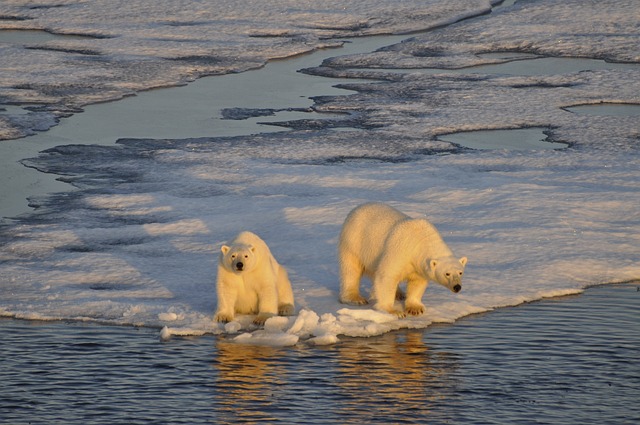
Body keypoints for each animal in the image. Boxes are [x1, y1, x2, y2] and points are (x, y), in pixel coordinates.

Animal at [338, 201, 468, 314]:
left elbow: (417, 282)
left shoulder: (419, 265)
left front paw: (415, 308)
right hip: (354, 241)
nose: (457, 287)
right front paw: (393, 311)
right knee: (351, 269)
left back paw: (399, 294)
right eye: (447, 274)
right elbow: (387, 276)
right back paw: (355, 298)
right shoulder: (400, 250)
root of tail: (357, 208)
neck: (421, 241)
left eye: (460, 272)